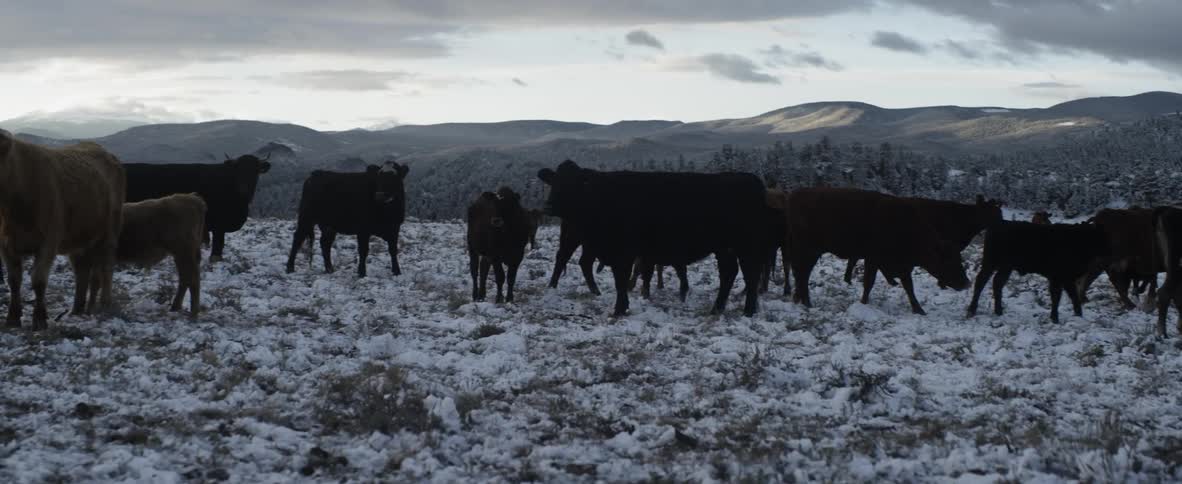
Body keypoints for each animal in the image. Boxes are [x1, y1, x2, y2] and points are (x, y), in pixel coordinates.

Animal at [0, 132, 125, 329]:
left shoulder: (48, 242)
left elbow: (39, 280)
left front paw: (40, 319)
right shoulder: (5, 245)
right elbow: (14, 280)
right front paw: (12, 318)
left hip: (110, 232)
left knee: (107, 267)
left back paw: (105, 304)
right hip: (80, 238)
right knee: (82, 271)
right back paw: (78, 309)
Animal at [123, 154, 271, 261]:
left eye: (255, 172)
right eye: (238, 172)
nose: (244, 190)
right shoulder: (218, 224)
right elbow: (218, 243)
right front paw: (215, 258)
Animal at [538, 160, 771, 317]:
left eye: (573, 183)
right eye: (554, 182)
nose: (548, 207)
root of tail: (751, 180)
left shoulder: (624, 252)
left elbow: (622, 279)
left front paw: (619, 309)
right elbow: (621, 279)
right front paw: (623, 306)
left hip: (746, 245)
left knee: (750, 273)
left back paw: (748, 311)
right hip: (724, 247)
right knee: (729, 272)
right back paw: (717, 309)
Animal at [777, 188, 970, 315]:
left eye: (959, 258)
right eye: (947, 259)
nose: (966, 283)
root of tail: (794, 195)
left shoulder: (901, 265)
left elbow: (908, 286)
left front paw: (919, 309)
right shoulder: (874, 259)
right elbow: (869, 282)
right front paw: (863, 303)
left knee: (801, 273)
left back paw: (800, 300)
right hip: (808, 249)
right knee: (802, 273)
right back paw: (806, 303)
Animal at [967, 220, 1110, 323]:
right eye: (1098, 237)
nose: (1109, 250)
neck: (1077, 240)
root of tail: (996, 225)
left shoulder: (1067, 279)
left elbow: (1073, 295)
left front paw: (1079, 315)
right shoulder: (1057, 278)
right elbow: (1056, 296)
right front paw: (1055, 318)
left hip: (1006, 268)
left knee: (997, 283)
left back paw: (999, 311)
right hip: (990, 263)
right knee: (981, 281)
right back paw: (972, 310)